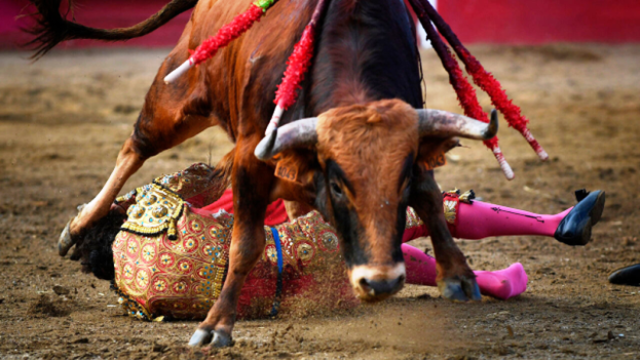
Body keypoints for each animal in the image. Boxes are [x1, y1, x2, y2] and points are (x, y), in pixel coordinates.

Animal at [30, 0, 498, 346]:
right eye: (337, 185)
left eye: (399, 183)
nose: (380, 281)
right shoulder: (251, 157)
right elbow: (246, 243)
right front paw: (215, 326)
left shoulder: (412, 138)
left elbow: (430, 199)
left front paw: (458, 277)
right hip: (179, 93)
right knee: (135, 147)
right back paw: (76, 228)